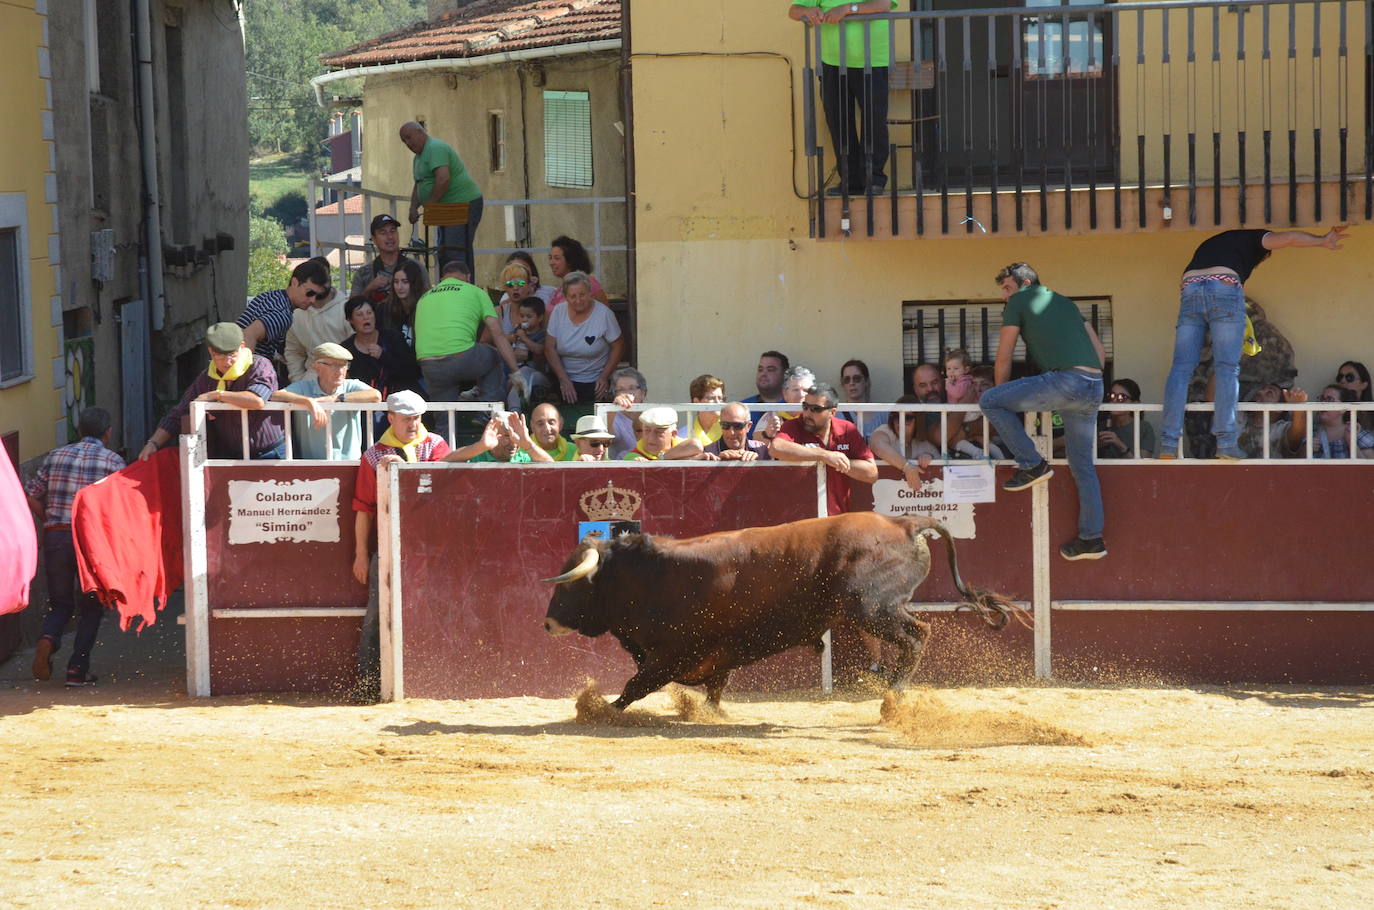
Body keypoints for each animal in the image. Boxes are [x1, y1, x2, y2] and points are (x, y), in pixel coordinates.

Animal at [541, 514, 1027, 714]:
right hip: (875, 610)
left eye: (570, 584)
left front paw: (600, 711)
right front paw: (710, 713)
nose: (546, 623)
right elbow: (714, 689)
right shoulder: (717, 652)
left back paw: (894, 694)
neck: (645, 574)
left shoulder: (673, 652)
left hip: (870, 609)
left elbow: (635, 686)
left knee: (917, 634)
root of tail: (902, 523)